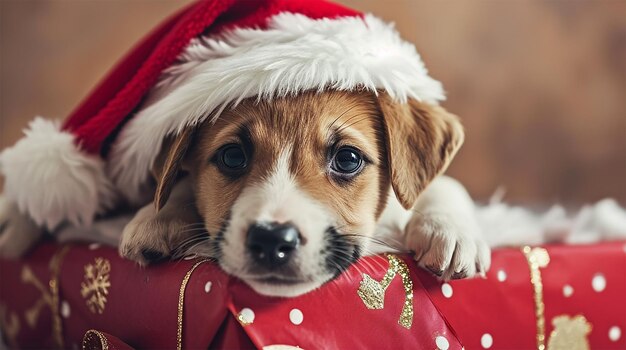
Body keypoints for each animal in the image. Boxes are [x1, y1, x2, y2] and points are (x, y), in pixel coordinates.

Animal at [117, 89, 488, 296]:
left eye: (348, 158)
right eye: (232, 156)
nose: (271, 240)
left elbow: (445, 185)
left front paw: (450, 231)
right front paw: (157, 217)